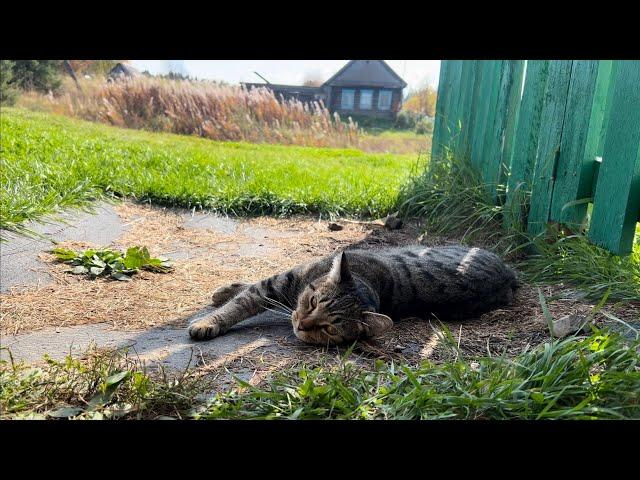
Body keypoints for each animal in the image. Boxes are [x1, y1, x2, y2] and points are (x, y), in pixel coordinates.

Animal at [188, 246, 516, 344]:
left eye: (330, 329)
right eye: (312, 302)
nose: (301, 325)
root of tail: (509, 274)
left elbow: (247, 297)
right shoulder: (282, 281)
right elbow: (243, 298)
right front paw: (212, 314)